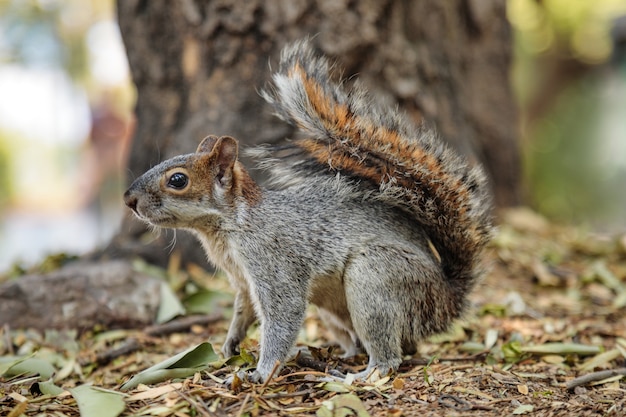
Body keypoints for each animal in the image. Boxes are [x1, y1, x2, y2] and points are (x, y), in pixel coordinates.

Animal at [123, 40, 492, 382]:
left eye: (178, 180)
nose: (128, 199)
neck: (230, 227)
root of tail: (447, 300)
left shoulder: (273, 260)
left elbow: (282, 314)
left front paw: (260, 372)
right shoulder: (242, 281)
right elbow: (242, 311)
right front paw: (229, 346)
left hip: (376, 278)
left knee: (390, 353)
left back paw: (363, 373)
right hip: (335, 308)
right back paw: (331, 354)